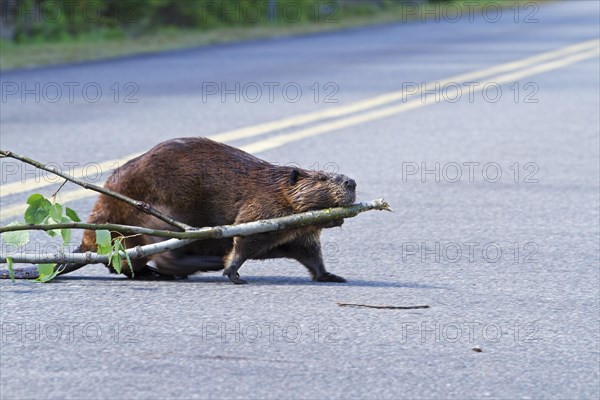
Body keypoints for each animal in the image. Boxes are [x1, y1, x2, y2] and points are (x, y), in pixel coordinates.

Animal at [37, 138, 356, 284]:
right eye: (323, 178)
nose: (351, 182)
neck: (273, 184)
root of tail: (88, 244)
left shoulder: (298, 232)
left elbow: (310, 254)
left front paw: (332, 276)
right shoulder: (262, 206)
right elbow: (243, 239)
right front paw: (232, 272)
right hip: (159, 218)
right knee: (162, 256)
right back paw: (194, 267)